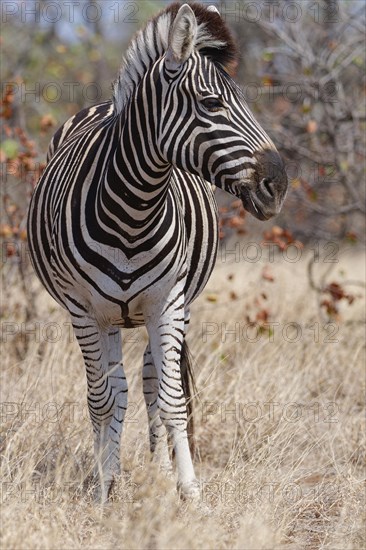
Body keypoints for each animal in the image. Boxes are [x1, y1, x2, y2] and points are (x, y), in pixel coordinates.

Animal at [27, 3, 288, 504]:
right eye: (211, 104)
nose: (279, 185)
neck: (133, 209)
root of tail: (103, 103)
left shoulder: (167, 302)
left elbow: (170, 400)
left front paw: (189, 493)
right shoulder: (83, 310)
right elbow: (102, 401)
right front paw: (105, 492)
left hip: (166, 309)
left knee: (150, 385)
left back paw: (161, 474)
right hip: (108, 317)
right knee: (116, 391)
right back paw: (113, 472)